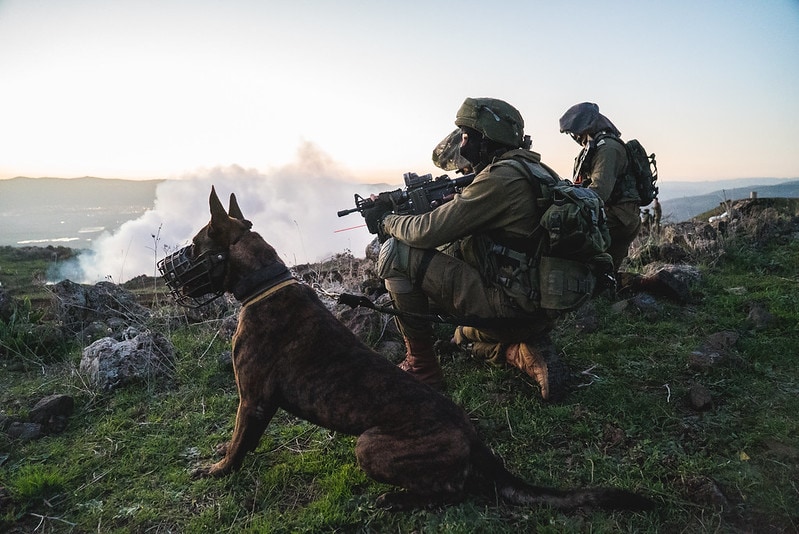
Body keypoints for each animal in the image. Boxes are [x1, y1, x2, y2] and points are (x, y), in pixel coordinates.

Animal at [159, 186, 652, 512]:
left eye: (196, 245)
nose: (170, 274)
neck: (264, 282)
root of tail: (477, 443)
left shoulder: (254, 401)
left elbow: (237, 446)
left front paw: (216, 470)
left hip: (369, 445)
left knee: (451, 492)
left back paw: (396, 501)